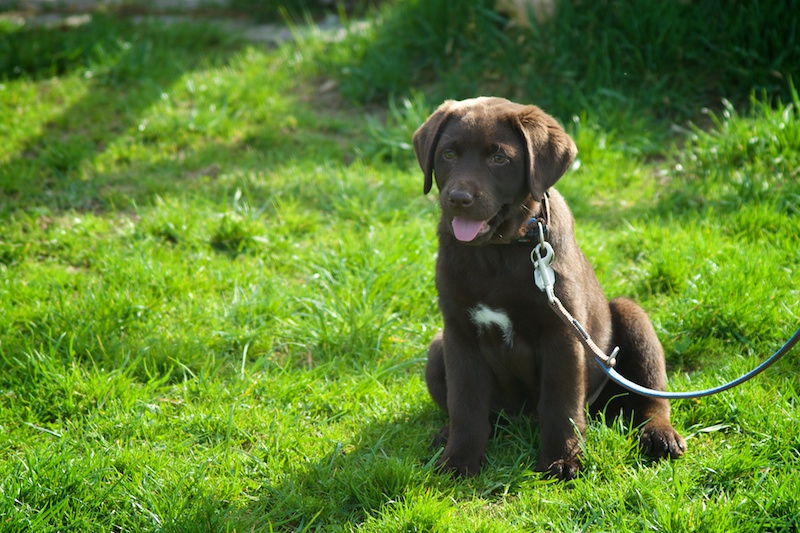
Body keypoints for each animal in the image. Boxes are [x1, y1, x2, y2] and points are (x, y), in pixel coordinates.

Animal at [416, 96, 684, 478]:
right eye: (448, 154)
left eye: (499, 159)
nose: (459, 198)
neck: (498, 251)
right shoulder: (459, 333)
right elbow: (465, 405)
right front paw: (459, 460)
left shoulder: (562, 334)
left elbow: (561, 404)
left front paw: (563, 460)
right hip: (438, 347)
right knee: (481, 413)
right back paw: (445, 434)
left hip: (631, 318)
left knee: (650, 398)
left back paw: (660, 436)